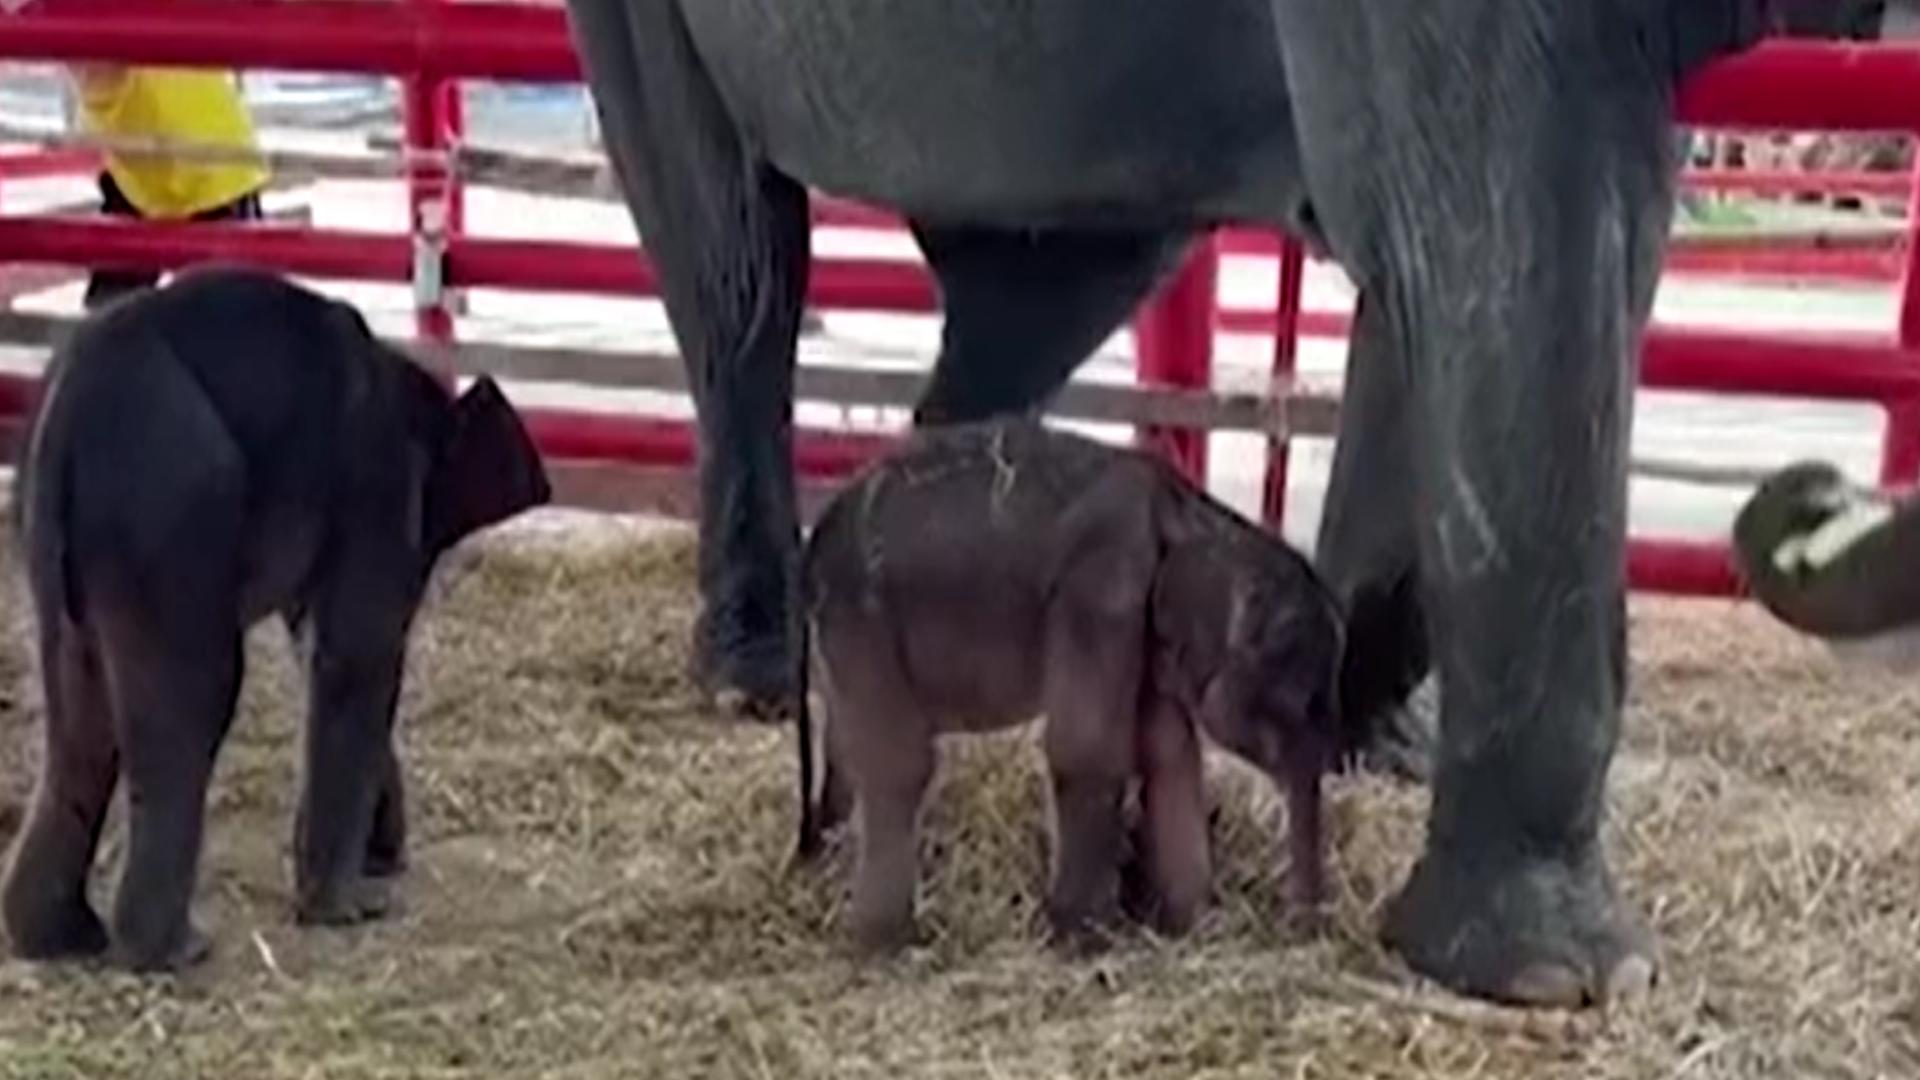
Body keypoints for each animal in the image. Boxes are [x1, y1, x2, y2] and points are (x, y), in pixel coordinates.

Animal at [1, 263, 556, 968]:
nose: (386, 859)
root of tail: (68, 417)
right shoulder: (373, 483)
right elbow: (355, 654)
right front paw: (351, 908)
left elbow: (318, 648)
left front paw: (380, 863)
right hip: (169, 514)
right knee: (193, 702)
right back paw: (173, 951)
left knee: (78, 716)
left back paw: (58, 939)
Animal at [794, 417, 1351, 945]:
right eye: (1299, 705)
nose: (1304, 928)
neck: (1193, 515)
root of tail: (814, 542)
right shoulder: (1099, 593)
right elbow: (1087, 747)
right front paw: (1081, 936)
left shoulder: (1143, 629)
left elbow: (1169, 755)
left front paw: (1190, 927)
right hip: (863, 621)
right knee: (899, 765)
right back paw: (887, 941)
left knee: (848, 749)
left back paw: (826, 869)